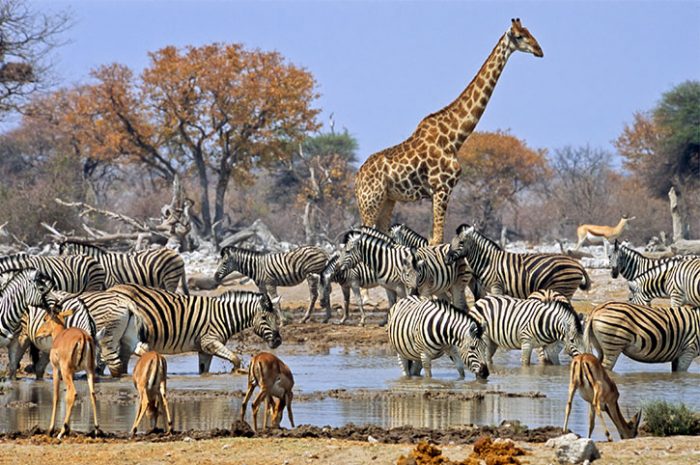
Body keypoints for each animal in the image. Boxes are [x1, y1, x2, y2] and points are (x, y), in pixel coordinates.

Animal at [37, 308, 100, 438]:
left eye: (45, 319)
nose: (38, 333)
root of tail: (83, 337)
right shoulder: (73, 373)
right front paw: (68, 430)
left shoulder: (56, 369)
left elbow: (56, 396)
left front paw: (51, 430)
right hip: (89, 371)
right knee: (93, 394)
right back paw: (96, 430)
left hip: (66, 371)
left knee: (73, 393)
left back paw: (61, 432)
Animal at [59, 239, 189, 294]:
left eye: (63, 259)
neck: (100, 264)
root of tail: (177, 254)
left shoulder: (112, 283)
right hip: (163, 281)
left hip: (171, 278)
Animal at [105, 282, 280, 374]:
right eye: (264, 318)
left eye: (277, 318)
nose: (278, 342)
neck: (224, 315)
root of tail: (112, 289)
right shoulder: (209, 341)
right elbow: (235, 359)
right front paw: (235, 373)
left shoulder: (205, 350)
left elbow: (204, 371)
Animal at [358, 18, 544, 245]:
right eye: (519, 36)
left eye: (529, 32)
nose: (539, 50)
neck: (455, 138)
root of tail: (357, 178)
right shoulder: (442, 188)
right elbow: (438, 238)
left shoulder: (436, 193)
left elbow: (433, 238)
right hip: (370, 203)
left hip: (387, 200)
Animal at [446, 224, 588, 298]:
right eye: (451, 242)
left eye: (461, 242)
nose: (447, 259)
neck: (487, 262)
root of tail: (578, 264)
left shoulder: (496, 287)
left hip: (564, 288)